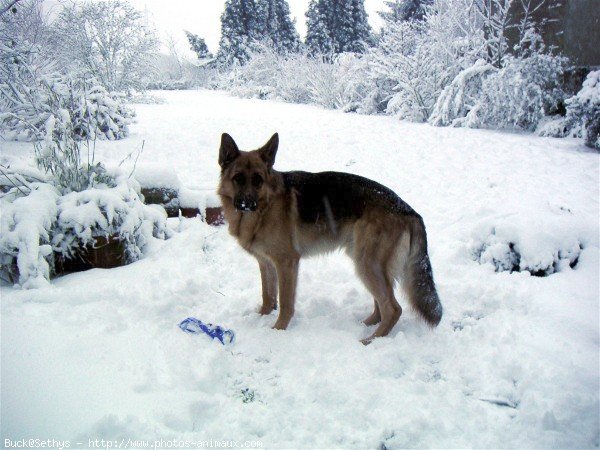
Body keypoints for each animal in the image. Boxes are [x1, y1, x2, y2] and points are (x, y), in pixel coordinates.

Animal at [217, 132, 440, 342]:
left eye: (258, 180)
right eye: (238, 178)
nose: (247, 204)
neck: (265, 207)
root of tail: (409, 210)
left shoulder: (286, 263)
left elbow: (286, 302)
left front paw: (278, 330)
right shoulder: (266, 263)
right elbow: (268, 296)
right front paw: (262, 318)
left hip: (367, 264)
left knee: (393, 309)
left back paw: (371, 340)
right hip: (366, 262)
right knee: (382, 305)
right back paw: (367, 325)